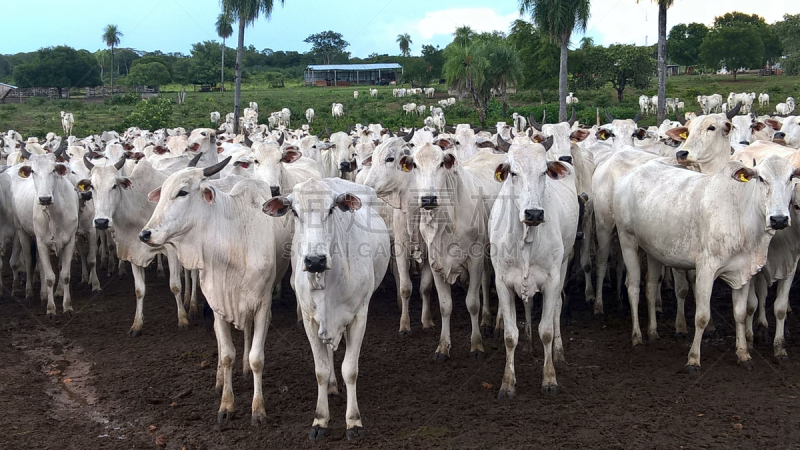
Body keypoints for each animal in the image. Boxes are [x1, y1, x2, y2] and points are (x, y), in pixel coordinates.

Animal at [262, 178, 390, 442]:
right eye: (294, 211)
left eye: (331, 209)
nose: (315, 260)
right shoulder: (310, 320)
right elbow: (320, 370)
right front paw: (320, 419)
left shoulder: (359, 316)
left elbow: (350, 370)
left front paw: (354, 421)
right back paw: (331, 385)